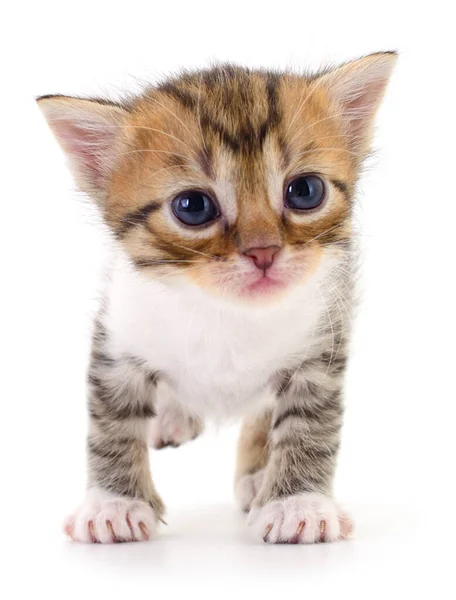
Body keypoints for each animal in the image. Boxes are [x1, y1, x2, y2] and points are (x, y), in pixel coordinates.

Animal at [38, 52, 396, 544]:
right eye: (193, 206)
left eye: (305, 191)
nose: (263, 251)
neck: (225, 313)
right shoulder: (118, 337)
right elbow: (111, 421)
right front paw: (114, 504)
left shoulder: (323, 339)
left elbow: (308, 423)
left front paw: (296, 502)